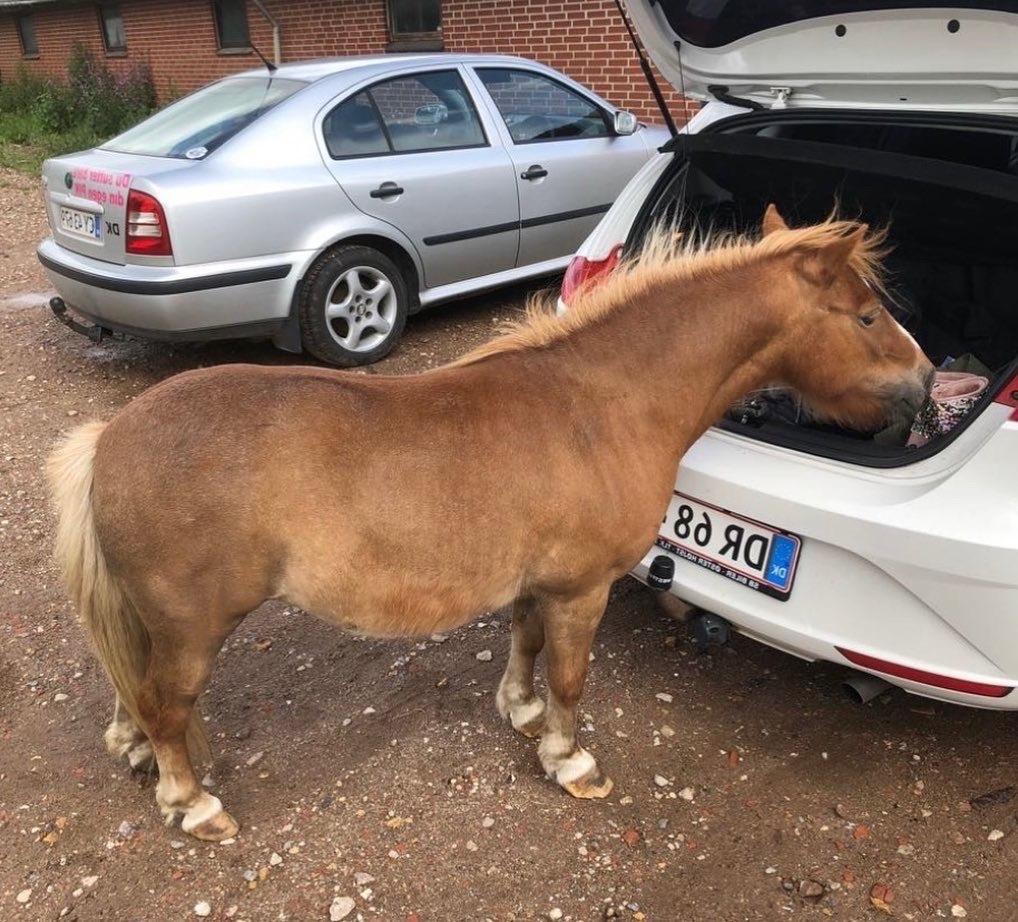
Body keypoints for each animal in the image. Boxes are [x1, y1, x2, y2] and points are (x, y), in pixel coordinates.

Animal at [51, 204, 932, 838]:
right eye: (865, 318)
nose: (926, 384)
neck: (602, 403)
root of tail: (110, 439)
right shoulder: (582, 588)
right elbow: (571, 676)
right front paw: (568, 760)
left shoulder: (537, 583)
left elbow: (526, 644)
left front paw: (522, 711)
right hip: (193, 626)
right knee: (166, 702)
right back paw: (192, 803)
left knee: (136, 693)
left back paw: (139, 755)